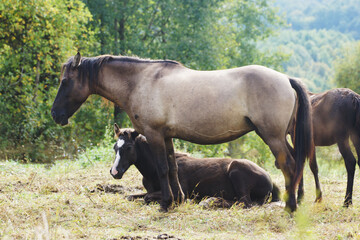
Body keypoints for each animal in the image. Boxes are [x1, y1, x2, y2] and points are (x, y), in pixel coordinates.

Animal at [110, 125, 282, 208]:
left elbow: (147, 198)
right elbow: (132, 196)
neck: (153, 172)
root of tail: (269, 178)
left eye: (129, 147)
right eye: (115, 147)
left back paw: (211, 202)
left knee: (245, 203)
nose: (114, 172)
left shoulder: (179, 192)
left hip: (237, 172)